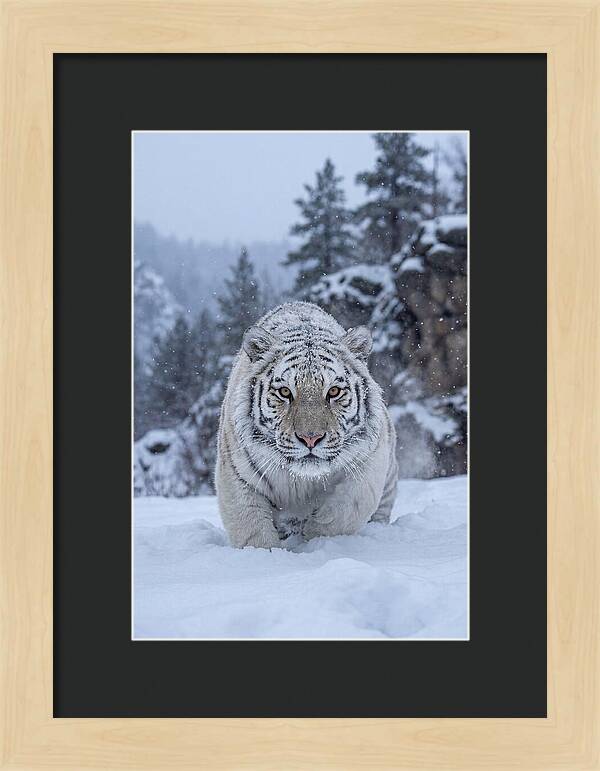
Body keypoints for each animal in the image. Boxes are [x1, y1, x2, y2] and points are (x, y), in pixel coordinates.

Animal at [216, 301, 398, 549]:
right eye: (285, 392)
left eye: (334, 391)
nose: (310, 438)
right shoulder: (236, 475)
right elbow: (252, 530)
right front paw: (267, 553)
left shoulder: (368, 464)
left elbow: (342, 513)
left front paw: (314, 539)